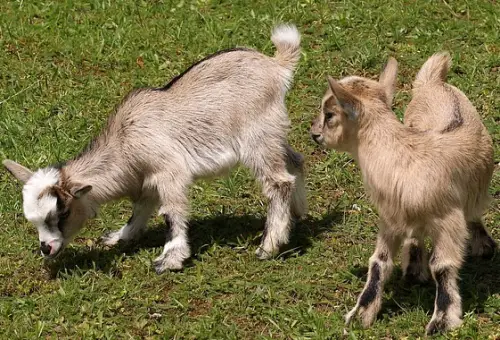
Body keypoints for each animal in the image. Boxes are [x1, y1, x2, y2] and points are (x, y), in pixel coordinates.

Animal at [3, 23, 306, 274]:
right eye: (33, 220)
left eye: (62, 213)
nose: (47, 248)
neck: (124, 142)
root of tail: (277, 66)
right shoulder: (146, 178)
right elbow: (140, 208)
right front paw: (119, 237)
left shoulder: (169, 171)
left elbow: (171, 212)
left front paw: (170, 259)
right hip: (274, 133)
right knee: (295, 161)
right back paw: (297, 213)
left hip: (257, 137)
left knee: (278, 182)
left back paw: (269, 245)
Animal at [312, 53, 496, 334]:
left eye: (330, 113)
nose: (314, 134)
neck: (403, 155)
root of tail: (434, 82)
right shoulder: (390, 218)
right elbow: (379, 262)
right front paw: (361, 313)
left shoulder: (447, 219)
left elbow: (442, 266)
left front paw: (443, 320)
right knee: (416, 236)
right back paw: (413, 267)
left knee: (472, 213)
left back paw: (483, 246)